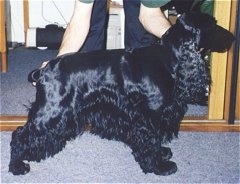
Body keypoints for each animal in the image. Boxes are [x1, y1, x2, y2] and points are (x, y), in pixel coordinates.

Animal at [8, 12, 232, 176]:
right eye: (213, 25)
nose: (232, 37)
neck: (168, 58)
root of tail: (45, 70)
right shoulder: (149, 116)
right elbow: (151, 140)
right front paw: (158, 166)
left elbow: (156, 139)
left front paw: (162, 154)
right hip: (52, 113)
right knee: (20, 135)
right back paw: (17, 166)